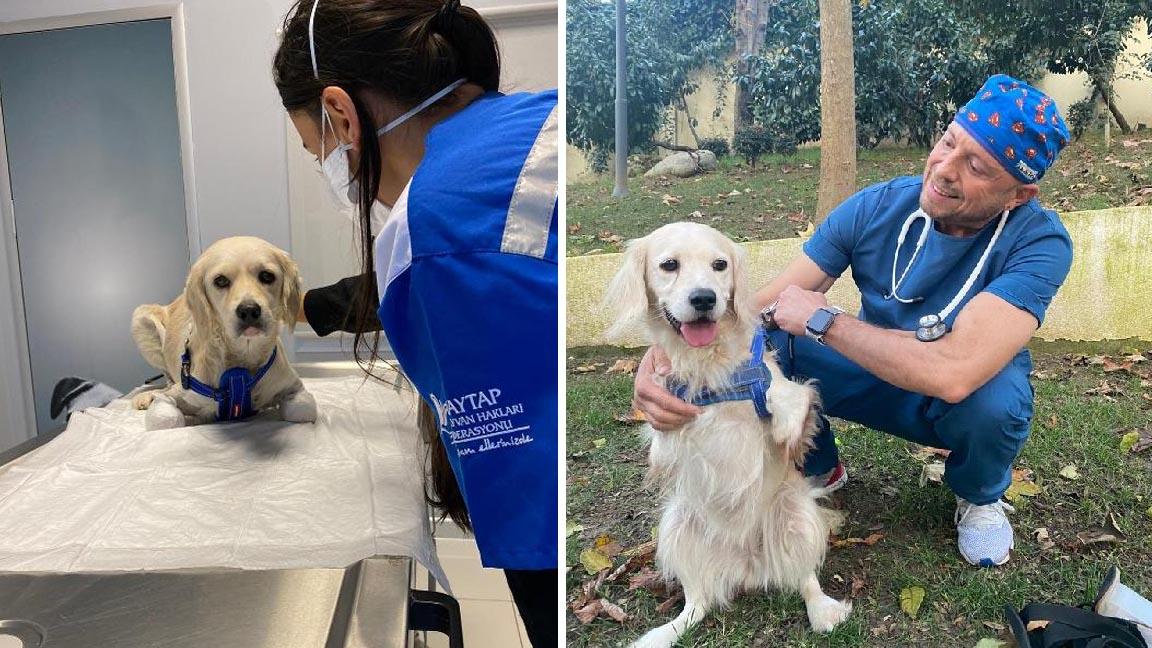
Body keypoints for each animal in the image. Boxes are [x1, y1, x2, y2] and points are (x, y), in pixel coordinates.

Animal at [130, 236, 317, 428]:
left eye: (267, 276)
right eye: (220, 281)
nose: (249, 310)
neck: (242, 359)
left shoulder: (293, 387)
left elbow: (304, 409)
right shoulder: (175, 396)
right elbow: (167, 418)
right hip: (141, 319)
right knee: (165, 383)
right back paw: (145, 397)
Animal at [608, 219, 852, 641]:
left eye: (719, 264)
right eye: (669, 265)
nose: (704, 298)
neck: (709, 364)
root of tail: (749, 567)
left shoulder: (788, 391)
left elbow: (785, 397)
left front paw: (783, 421)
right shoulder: (666, 428)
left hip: (796, 516)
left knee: (806, 579)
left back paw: (824, 612)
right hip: (678, 527)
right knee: (697, 603)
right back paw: (663, 634)